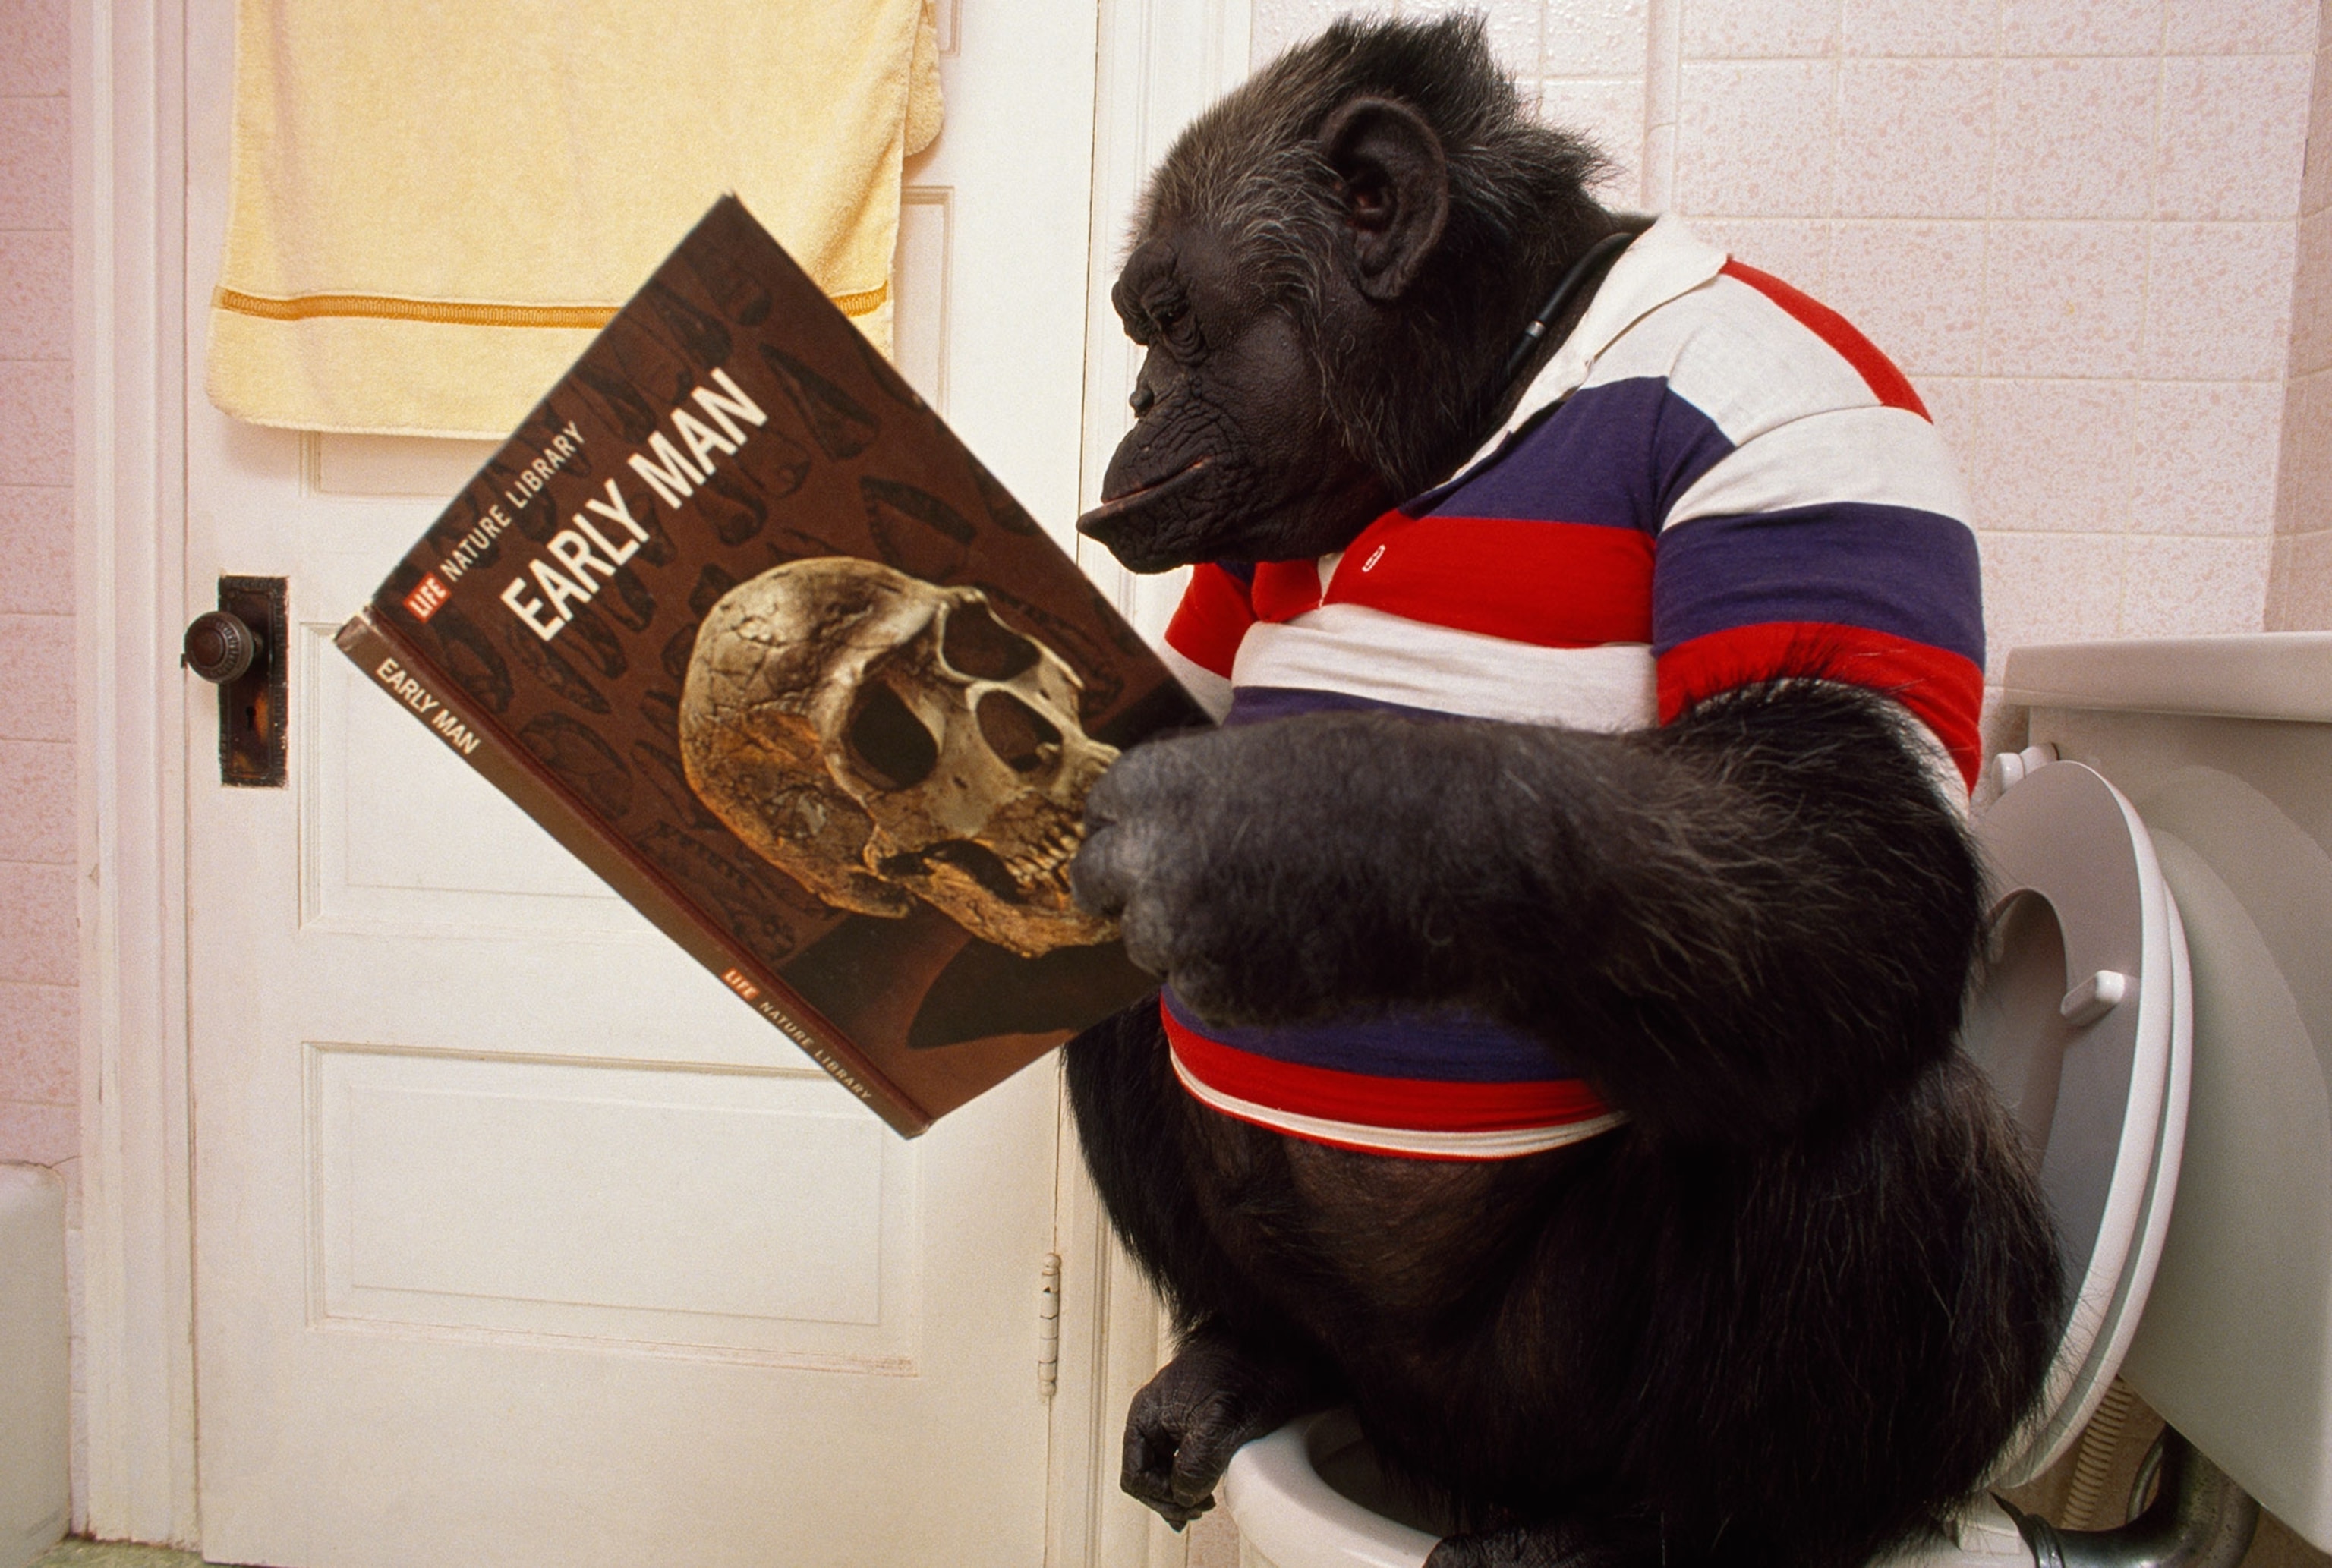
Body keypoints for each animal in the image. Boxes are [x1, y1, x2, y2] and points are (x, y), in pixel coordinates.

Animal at [1059, 17, 2064, 1568]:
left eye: (1171, 317)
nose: (1142, 399)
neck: (1482, 397)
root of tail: (1426, 1436)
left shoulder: (1806, 414)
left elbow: (1848, 812)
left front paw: (1290, 842)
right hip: (1363, 1364)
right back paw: (1243, 1359)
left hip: (1547, 1393)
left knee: (1880, 1093)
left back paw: (1642, 1529)